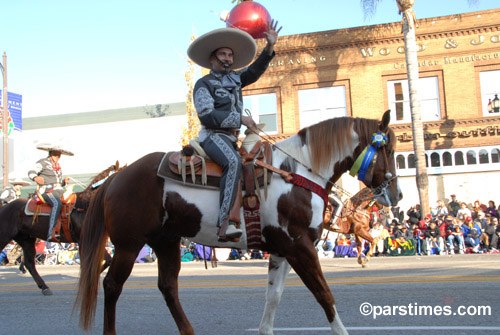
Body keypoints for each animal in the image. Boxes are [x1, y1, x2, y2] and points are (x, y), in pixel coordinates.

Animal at [75, 111, 402, 335]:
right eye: (387, 150)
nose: (396, 194)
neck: (298, 173)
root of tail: (119, 176)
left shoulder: (282, 250)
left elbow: (274, 297)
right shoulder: (300, 246)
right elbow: (324, 294)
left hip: (165, 242)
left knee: (168, 287)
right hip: (128, 246)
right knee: (112, 285)